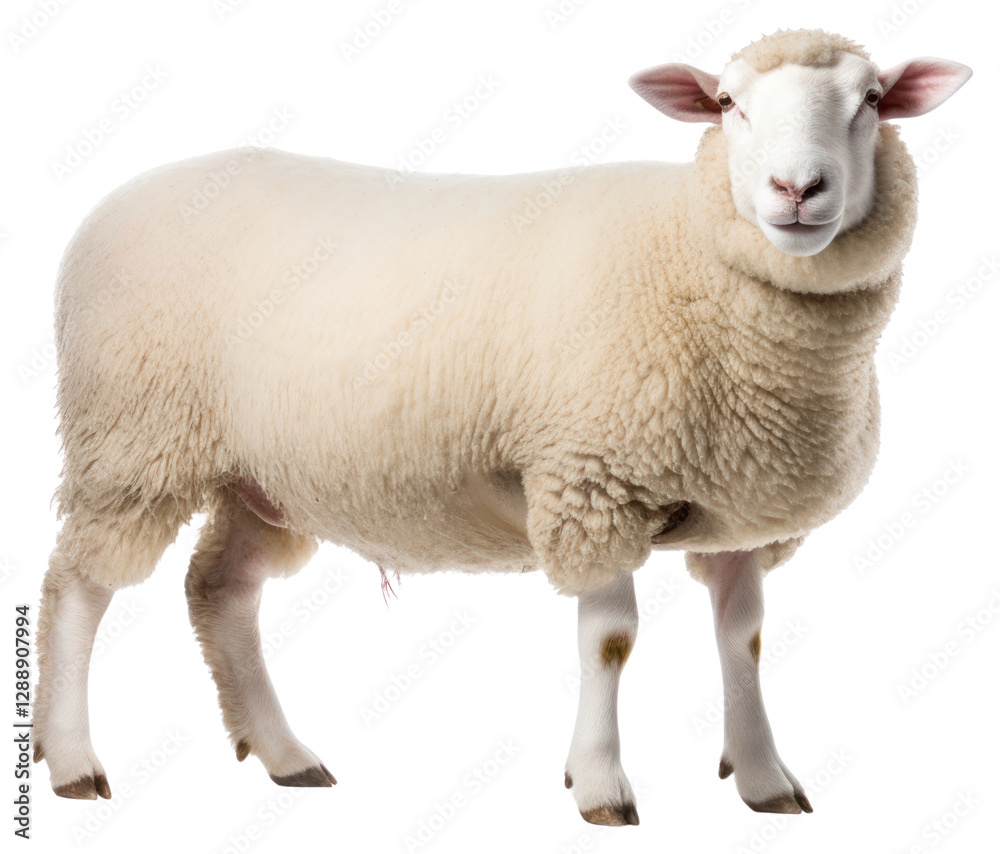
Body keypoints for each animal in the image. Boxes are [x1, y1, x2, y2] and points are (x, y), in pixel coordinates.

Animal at [34, 27, 970, 825]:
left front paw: (765, 776)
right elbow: (612, 640)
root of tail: (105, 208)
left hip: (256, 475)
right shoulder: (588, 480)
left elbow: (744, 640)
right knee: (79, 584)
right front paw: (600, 785)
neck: (690, 255)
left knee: (218, 589)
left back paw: (283, 754)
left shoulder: (742, 511)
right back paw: (73, 759)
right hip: (132, 439)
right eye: (729, 102)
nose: (796, 191)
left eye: (873, 99)